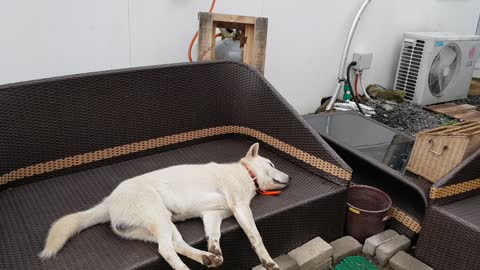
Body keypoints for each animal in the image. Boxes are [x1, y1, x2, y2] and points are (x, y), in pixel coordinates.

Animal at [39, 142, 288, 268]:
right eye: (272, 164)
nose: (290, 177)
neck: (246, 174)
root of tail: (109, 202)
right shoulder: (240, 208)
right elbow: (256, 237)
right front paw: (268, 261)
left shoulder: (212, 215)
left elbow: (213, 236)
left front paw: (214, 248)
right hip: (158, 215)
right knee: (166, 250)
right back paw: (188, 267)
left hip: (164, 224)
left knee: (175, 245)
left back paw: (207, 257)